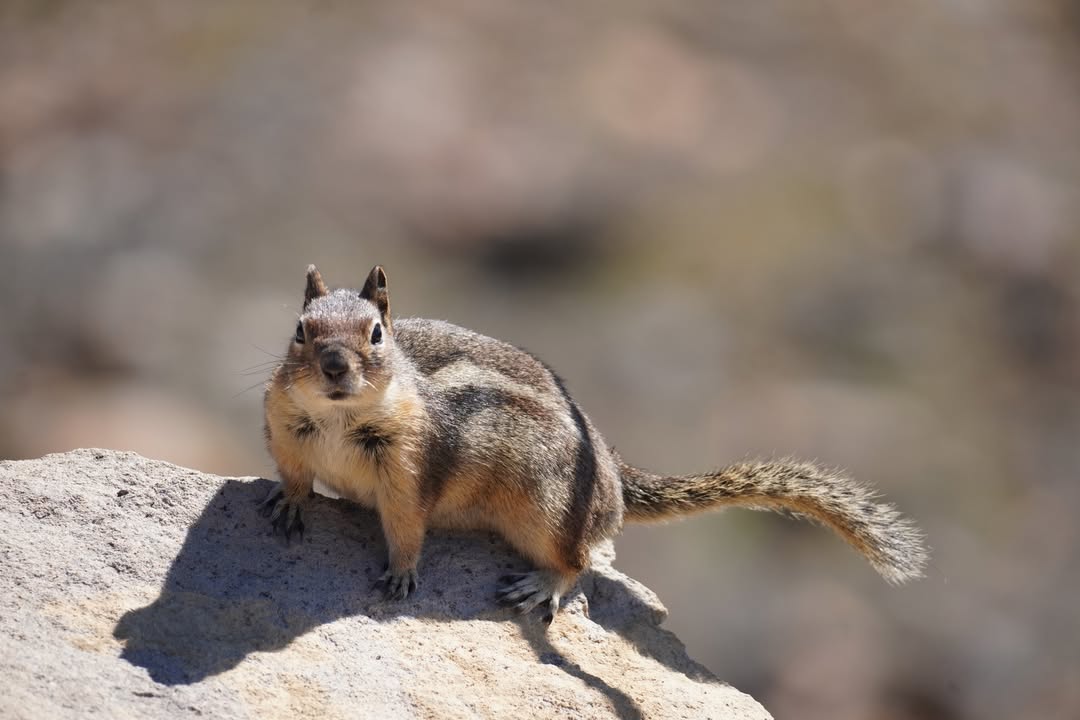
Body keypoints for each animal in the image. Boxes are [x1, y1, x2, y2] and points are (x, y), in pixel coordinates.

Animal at [262, 265, 928, 623]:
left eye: (376, 333)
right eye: (299, 330)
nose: (333, 366)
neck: (337, 420)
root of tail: (612, 474)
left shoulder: (408, 471)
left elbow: (407, 528)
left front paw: (401, 575)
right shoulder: (285, 430)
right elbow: (294, 476)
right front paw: (288, 504)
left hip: (545, 512)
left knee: (578, 560)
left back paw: (542, 585)